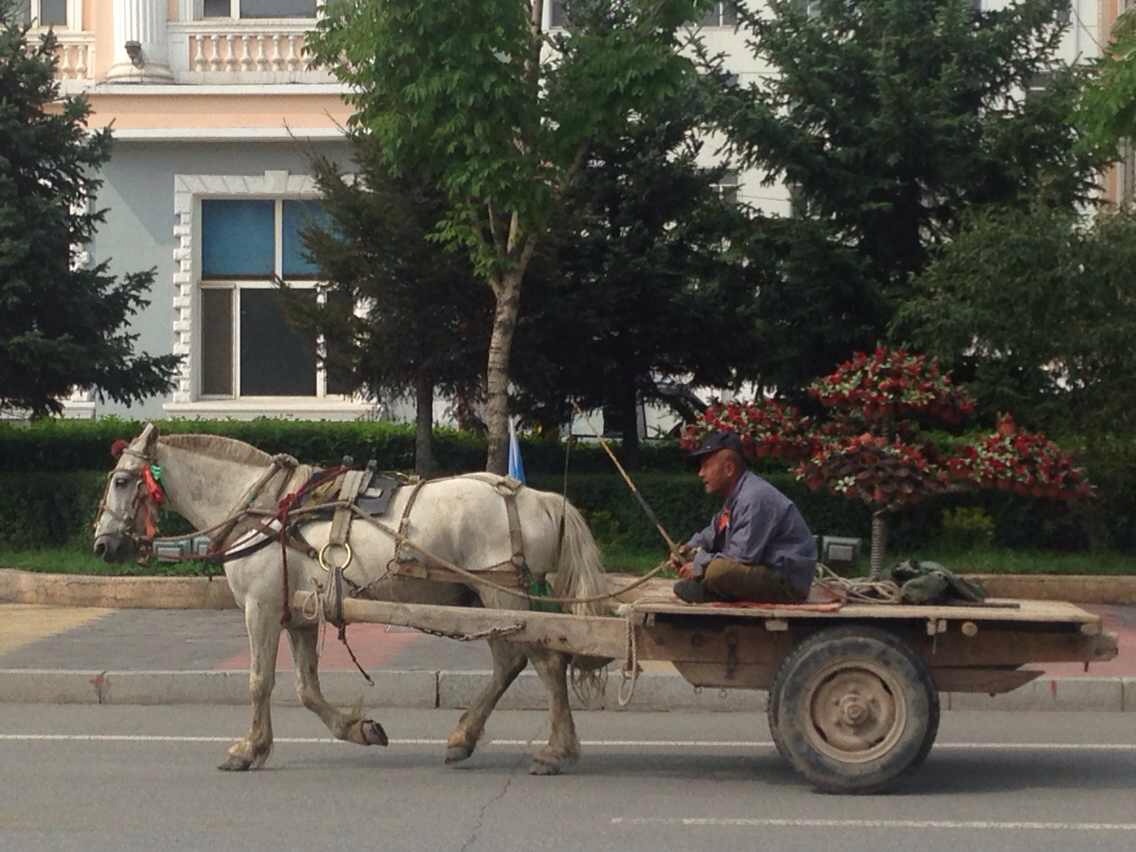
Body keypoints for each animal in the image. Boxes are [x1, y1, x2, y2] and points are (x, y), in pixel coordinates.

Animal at [92, 424, 608, 777]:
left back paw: (555, 750)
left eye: (121, 481)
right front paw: (359, 730)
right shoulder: (297, 615)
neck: (267, 510)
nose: (101, 543)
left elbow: (259, 681)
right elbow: (306, 688)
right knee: (511, 662)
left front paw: (247, 748)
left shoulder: (261, 608)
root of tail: (533, 497)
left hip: (500, 592)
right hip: (487, 601)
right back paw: (464, 737)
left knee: (545, 662)